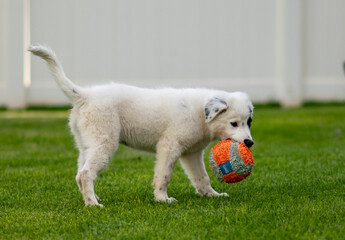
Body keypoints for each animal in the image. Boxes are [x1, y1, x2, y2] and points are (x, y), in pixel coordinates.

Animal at [28, 45, 253, 206]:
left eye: (248, 121)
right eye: (234, 123)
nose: (249, 143)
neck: (200, 114)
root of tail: (85, 95)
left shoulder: (192, 154)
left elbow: (202, 177)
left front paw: (212, 195)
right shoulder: (169, 146)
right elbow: (164, 175)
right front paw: (163, 199)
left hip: (87, 144)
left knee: (79, 173)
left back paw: (92, 198)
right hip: (105, 142)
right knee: (85, 173)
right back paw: (93, 205)